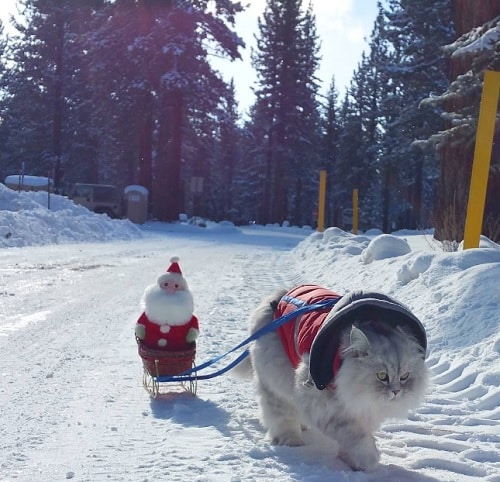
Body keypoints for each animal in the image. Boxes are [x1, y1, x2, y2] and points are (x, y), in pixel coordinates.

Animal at [240, 286, 428, 470]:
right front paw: (367, 460)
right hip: (276, 382)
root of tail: (277, 296)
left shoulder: (359, 408)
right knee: (281, 416)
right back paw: (291, 441)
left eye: (404, 376)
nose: (396, 391)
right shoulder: (321, 403)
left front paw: (350, 461)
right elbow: (356, 436)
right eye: (382, 376)